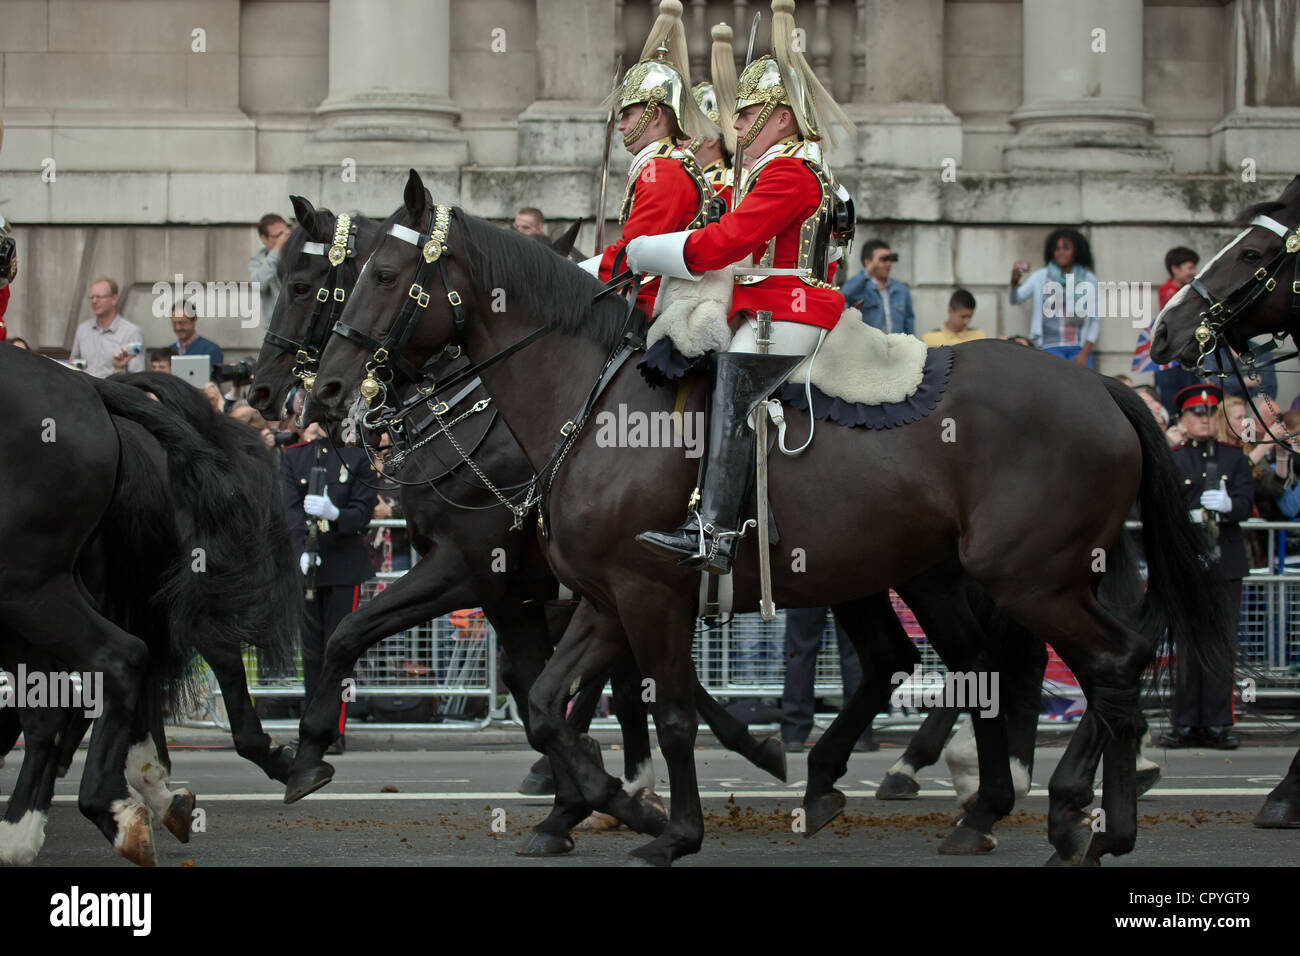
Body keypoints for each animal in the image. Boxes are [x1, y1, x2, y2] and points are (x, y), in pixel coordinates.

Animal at [309, 171, 1232, 868]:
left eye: (382, 276)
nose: (323, 391)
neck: (590, 400)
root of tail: (1101, 385)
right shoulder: (603, 598)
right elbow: (544, 702)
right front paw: (613, 803)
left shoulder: (627, 591)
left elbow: (669, 712)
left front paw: (668, 829)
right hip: (981, 572)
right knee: (1029, 665)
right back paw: (1036, 812)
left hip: (1028, 575)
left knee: (1097, 663)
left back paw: (1073, 814)